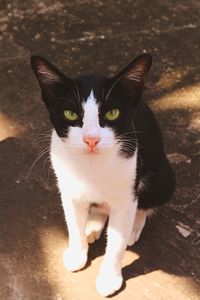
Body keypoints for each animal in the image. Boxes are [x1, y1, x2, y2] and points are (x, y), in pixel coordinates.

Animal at [30, 53, 175, 296]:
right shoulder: (68, 189)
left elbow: (116, 242)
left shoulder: (127, 194)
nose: (91, 139)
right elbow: (73, 224)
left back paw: (133, 226)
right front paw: (77, 254)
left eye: (112, 113)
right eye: (70, 113)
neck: (92, 165)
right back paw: (92, 225)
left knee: (145, 203)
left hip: (163, 177)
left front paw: (109, 278)